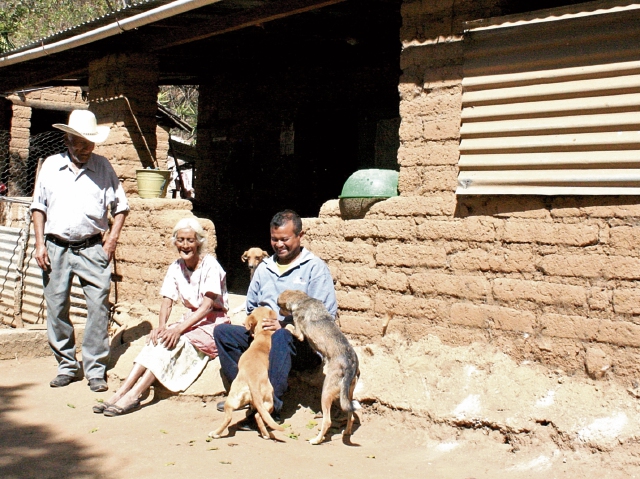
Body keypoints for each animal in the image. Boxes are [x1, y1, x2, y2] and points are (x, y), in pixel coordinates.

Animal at [209, 310, 284, 440]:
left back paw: (216, 433)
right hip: (267, 401)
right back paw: (265, 433)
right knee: (258, 415)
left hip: (236, 398)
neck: (264, 333)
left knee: (232, 417)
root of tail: (253, 382)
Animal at [276, 288, 360, 446]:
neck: (303, 300)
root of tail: (351, 365)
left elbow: (289, 327)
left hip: (326, 392)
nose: (278, 311)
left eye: (280, 305)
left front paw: (280, 324)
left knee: (327, 421)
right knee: (350, 414)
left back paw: (316, 440)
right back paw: (346, 432)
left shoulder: (299, 333)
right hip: (347, 394)